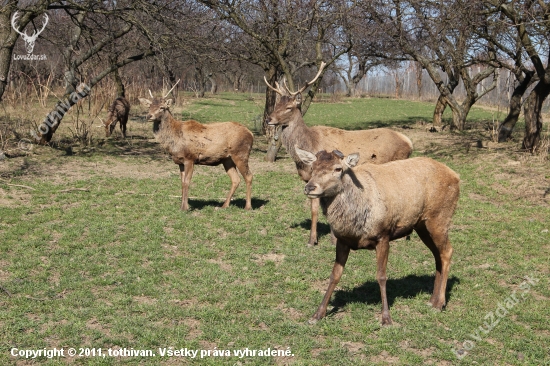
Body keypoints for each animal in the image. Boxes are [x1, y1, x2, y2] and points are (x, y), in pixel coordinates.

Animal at [140, 81, 256, 210]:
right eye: (149, 106)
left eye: (162, 107)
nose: (149, 116)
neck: (175, 139)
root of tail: (251, 134)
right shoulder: (180, 162)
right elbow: (182, 182)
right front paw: (182, 206)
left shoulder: (190, 158)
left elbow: (187, 182)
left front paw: (185, 208)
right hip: (227, 159)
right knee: (236, 179)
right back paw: (224, 205)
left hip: (241, 153)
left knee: (249, 176)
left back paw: (248, 206)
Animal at [264, 62, 414, 246]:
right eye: (276, 105)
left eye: (289, 108)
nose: (268, 119)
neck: (310, 143)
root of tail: (409, 142)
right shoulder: (310, 180)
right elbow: (314, 210)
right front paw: (312, 240)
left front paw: (334, 239)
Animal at [298, 147, 462, 324]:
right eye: (312, 167)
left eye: (338, 169)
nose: (310, 187)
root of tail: (456, 176)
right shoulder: (342, 240)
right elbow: (335, 275)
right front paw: (317, 314)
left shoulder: (383, 235)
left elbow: (381, 276)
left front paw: (386, 318)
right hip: (422, 225)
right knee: (437, 255)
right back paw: (432, 300)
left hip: (440, 218)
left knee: (447, 252)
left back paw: (439, 303)